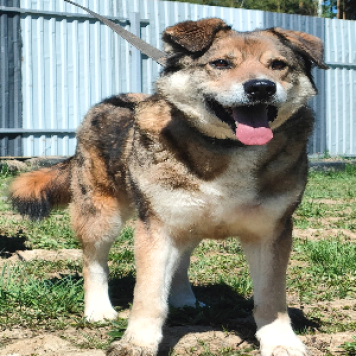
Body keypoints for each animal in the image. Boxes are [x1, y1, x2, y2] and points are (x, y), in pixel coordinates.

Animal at [10, 18, 328, 356]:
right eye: (221, 63)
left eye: (278, 65)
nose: (261, 87)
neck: (228, 149)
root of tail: (106, 103)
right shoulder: (156, 229)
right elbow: (148, 295)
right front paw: (137, 342)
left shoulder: (271, 232)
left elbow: (271, 299)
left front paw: (280, 341)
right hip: (102, 217)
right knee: (94, 261)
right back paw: (99, 310)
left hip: (185, 221)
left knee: (181, 260)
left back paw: (183, 298)